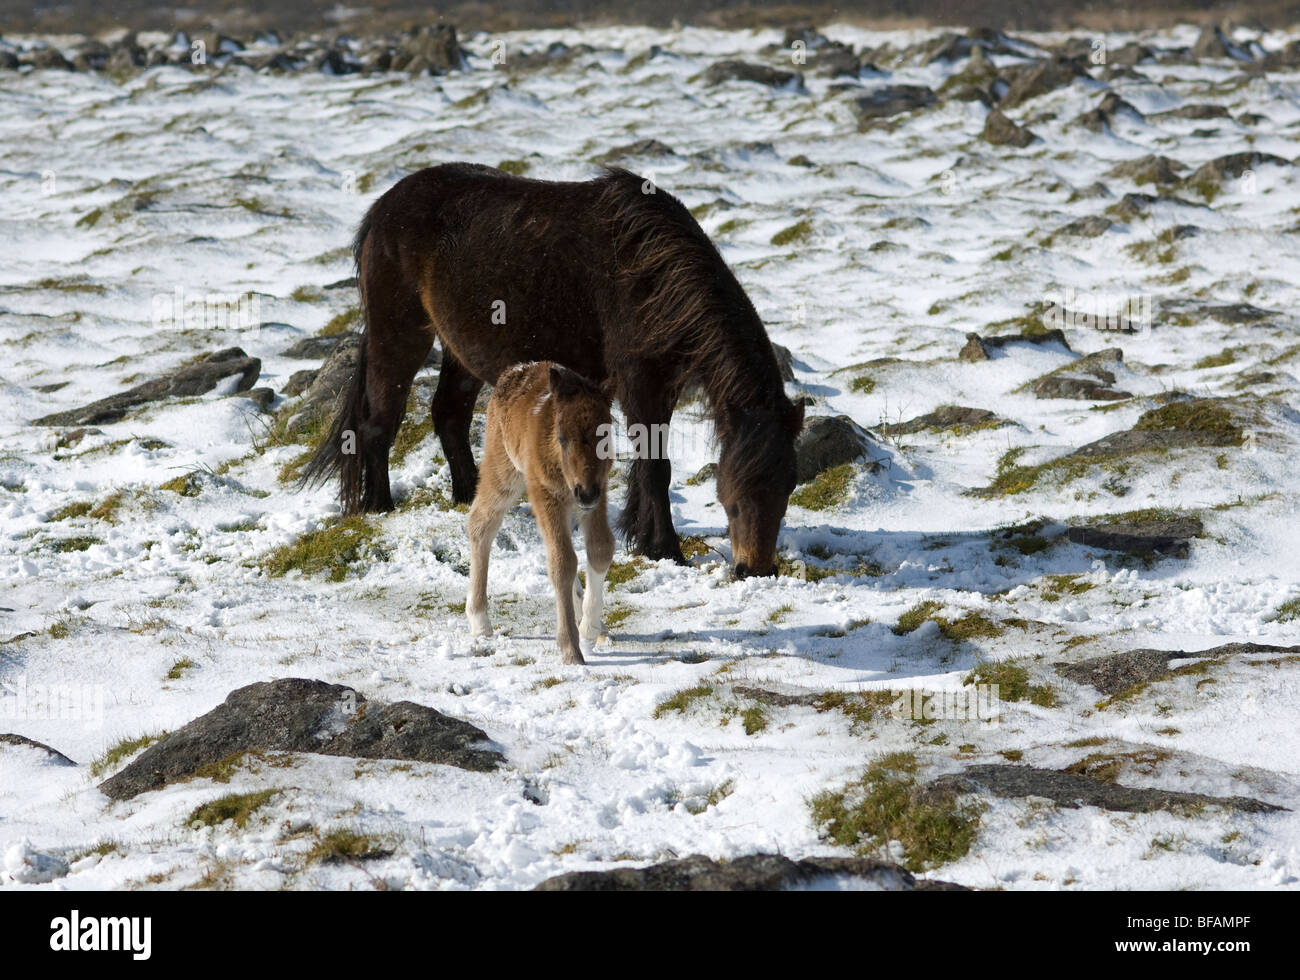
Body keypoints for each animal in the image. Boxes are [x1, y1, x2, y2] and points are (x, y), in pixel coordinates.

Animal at [302, 164, 800, 577]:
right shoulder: (640, 383)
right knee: (378, 424)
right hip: (400, 334)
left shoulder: (661, 385)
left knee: (448, 416)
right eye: (740, 491)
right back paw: (379, 507)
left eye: (788, 485)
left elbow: (648, 466)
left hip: (459, 350)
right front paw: (665, 550)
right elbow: (657, 467)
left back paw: (467, 496)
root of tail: (380, 211)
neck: (651, 275)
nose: (756, 569)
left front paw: (642, 538)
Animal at [467, 361, 613, 665]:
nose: (585, 492)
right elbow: (561, 562)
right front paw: (571, 649)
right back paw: (480, 622)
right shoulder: (546, 495)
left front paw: (590, 627)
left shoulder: (598, 494)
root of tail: (513, 371)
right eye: (562, 437)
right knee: (480, 523)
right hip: (504, 473)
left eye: (604, 436)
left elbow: (600, 548)